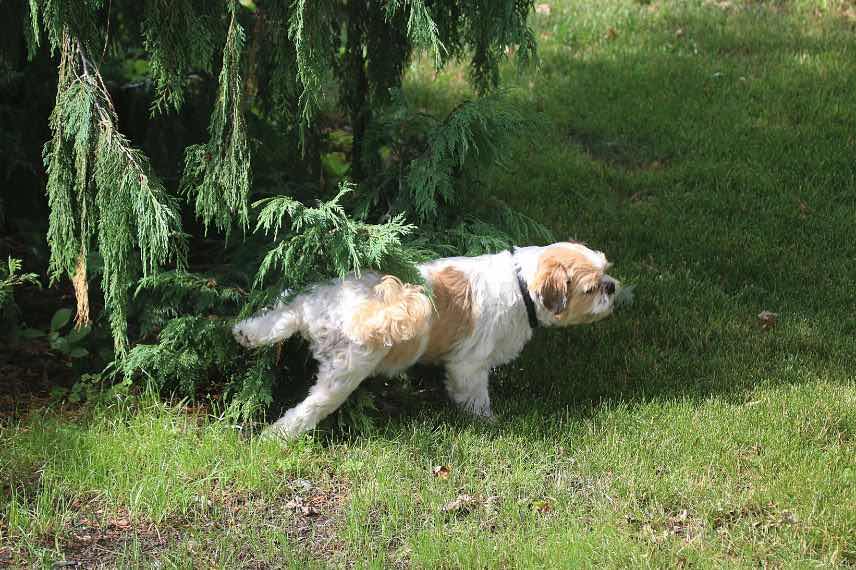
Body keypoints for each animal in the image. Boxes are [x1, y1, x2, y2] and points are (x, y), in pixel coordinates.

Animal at [234, 239, 620, 434]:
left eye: (606, 270)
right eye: (590, 289)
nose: (612, 287)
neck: (521, 284)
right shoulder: (470, 365)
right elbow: (475, 396)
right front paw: (488, 422)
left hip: (310, 303)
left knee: (284, 314)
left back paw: (247, 332)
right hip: (344, 373)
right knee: (309, 408)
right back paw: (279, 435)